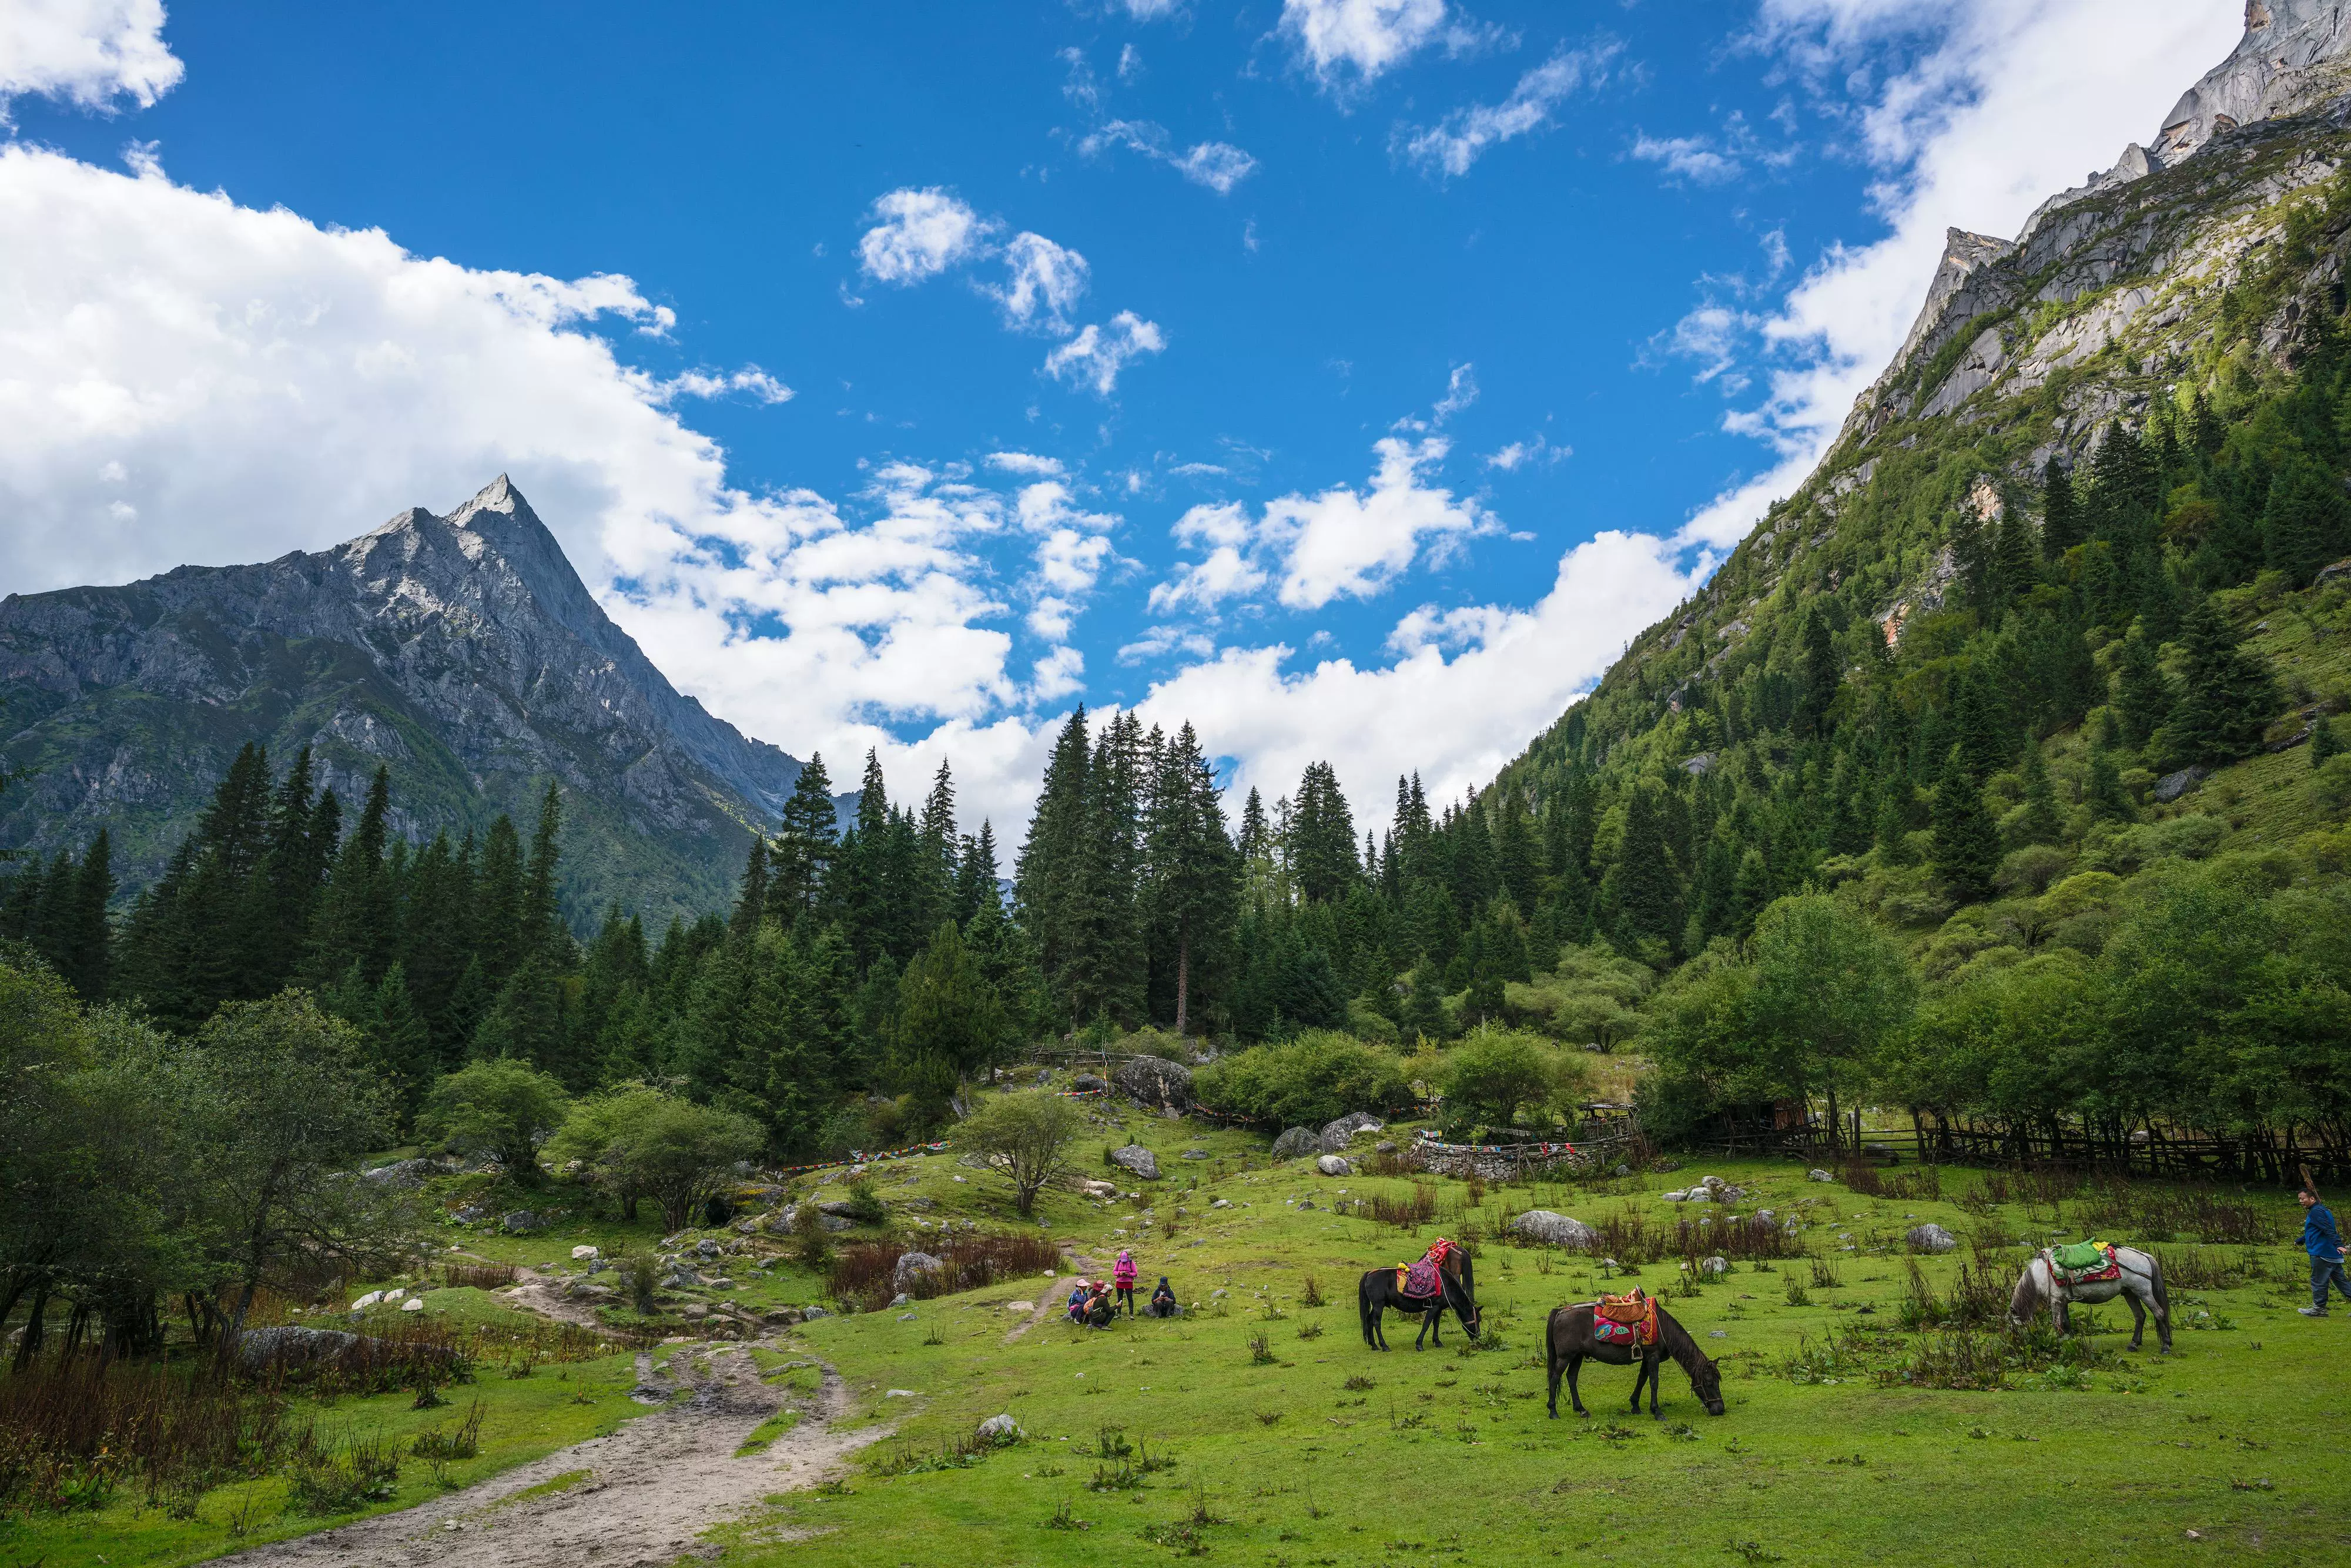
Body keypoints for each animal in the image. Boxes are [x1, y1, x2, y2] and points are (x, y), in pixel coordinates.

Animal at [1354, 1251, 1476, 1354]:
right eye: (1478, 1320)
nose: (1478, 1338)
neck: (1445, 1285)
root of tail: (1370, 1274)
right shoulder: (1434, 1307)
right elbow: (1426, 1324)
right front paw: (1419, 1345)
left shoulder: (1439, 1308)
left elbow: (1436, 1324)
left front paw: (1437, 1342)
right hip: (1379, 1305)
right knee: (1376, 1322)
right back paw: (1384, 1346)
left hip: (1376, 1306)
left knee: (1369, 1320)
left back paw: (1374, 1345)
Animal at [2012, 1241, 2172, 1354]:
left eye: (2015, 1329)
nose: (2017, 1345)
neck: (2040, 1275)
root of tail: (2145, 1257)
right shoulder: (2063, 1301)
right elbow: (2066, 1323)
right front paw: (2070, 1342)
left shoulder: (2055, 1300)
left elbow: (2057, 1324)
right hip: (2130, 1293)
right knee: (2140, 1316)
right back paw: (2134, 1344)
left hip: (2144, 1292)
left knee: (2159, 1313)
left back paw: (2166, 1346)